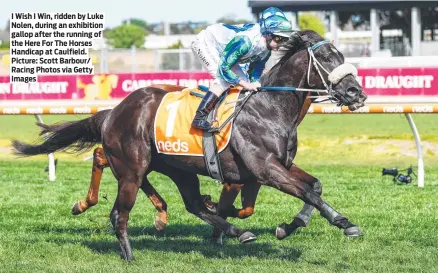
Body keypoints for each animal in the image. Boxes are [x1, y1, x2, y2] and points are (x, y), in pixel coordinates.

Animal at [12, 29, 366, 260]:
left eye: (342, 56)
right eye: (325, 58)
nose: (356, 93)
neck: (270, 108)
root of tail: (114, 112)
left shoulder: (278, 166)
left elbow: (314, 186)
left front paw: (290, 225)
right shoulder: (265, 169)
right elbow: (306, 191)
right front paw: (345, 223)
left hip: (178, 168)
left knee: (194, 204)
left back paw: (234, 230)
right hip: (132, 169)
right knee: (119, 213)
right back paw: (129, 254)